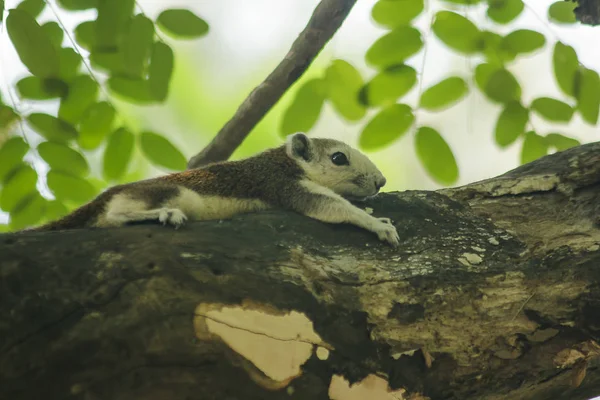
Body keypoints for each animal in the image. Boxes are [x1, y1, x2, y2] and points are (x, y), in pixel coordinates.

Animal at [29, 134, 404, 247]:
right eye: (338, 158)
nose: (381, 181)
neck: (286, 161)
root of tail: (104, 195)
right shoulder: (281, 184)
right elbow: (330, 206)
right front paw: (377, 224)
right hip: (174, 194)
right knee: (115, 216)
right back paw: (162, 213)